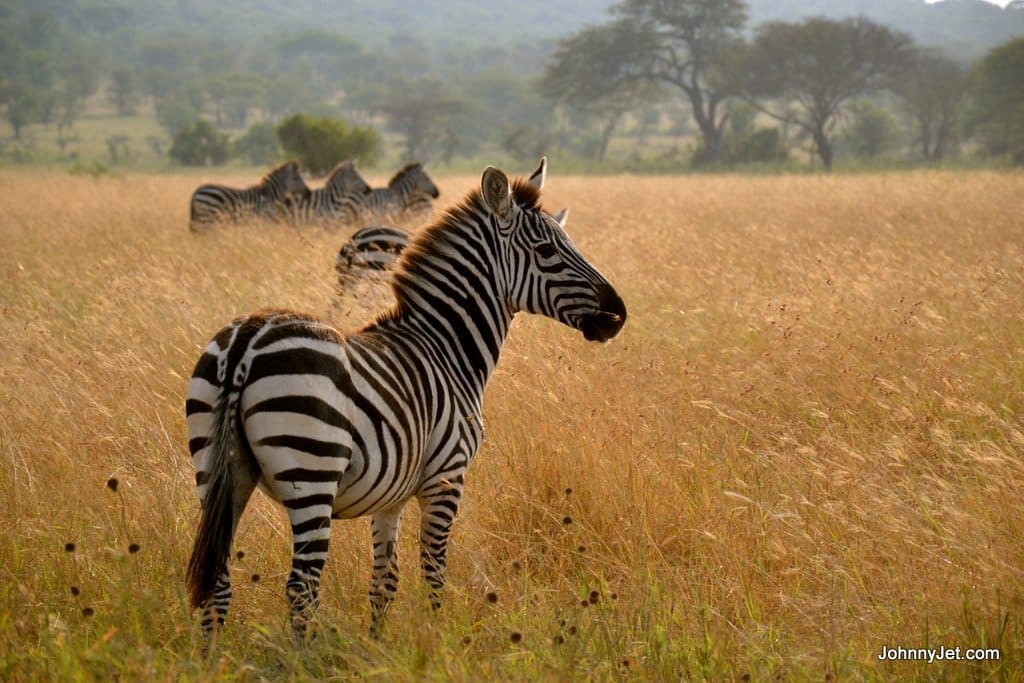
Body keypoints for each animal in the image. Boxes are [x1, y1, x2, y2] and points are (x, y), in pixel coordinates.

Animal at [187, 157, 626, 643]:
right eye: (548, 250)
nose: (619, 314)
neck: (447, 346)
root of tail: (247, 340)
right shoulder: (446, 477)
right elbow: (433, 571)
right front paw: (436, 642)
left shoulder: (391, 493)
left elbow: (385, 580)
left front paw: (379, 645)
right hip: (311, 471)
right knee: (302, 587)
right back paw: (304, 655)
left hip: (218, 472)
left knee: (219, 582)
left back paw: (212, 656)